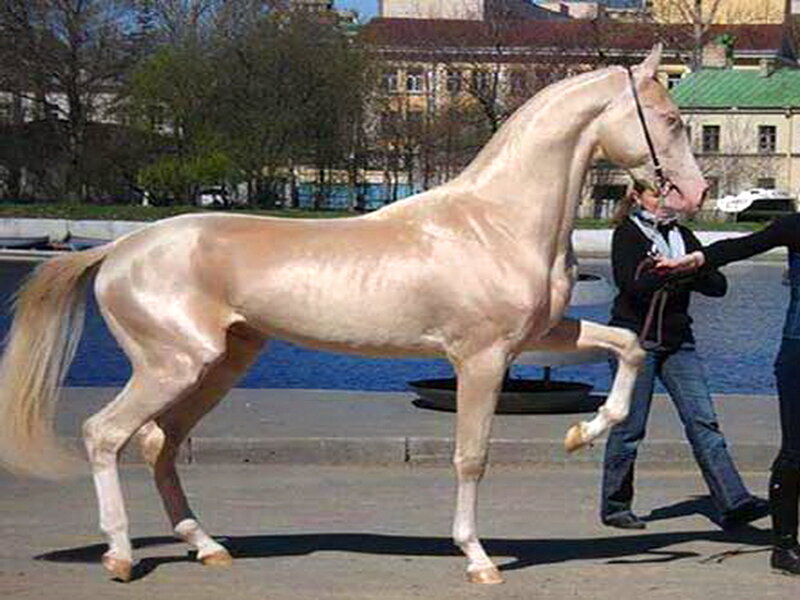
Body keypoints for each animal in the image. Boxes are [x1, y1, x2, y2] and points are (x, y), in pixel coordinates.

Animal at [0, 45, 706, 585]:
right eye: (671, 119)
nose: (694, 194)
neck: (497, 222)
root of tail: (118, 248)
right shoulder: (481, 358)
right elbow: (470, 456)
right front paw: (478, 559)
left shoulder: (539, 338)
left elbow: (628, 346)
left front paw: (582, 432)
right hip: (172, 365)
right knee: (104, 434)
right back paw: (120, 556)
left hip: (219, 365)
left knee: (159, 443)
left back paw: (209, 547)